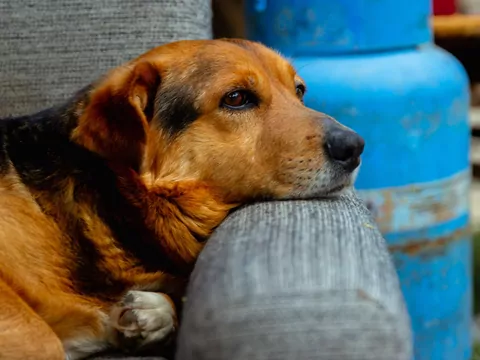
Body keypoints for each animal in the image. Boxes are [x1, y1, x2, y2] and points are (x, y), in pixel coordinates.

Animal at [0, 38, 364, 358]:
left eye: (299, 91)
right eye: (236, 98)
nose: (355, 146)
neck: (110, 203)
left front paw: (153, 315)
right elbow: (43, 339)